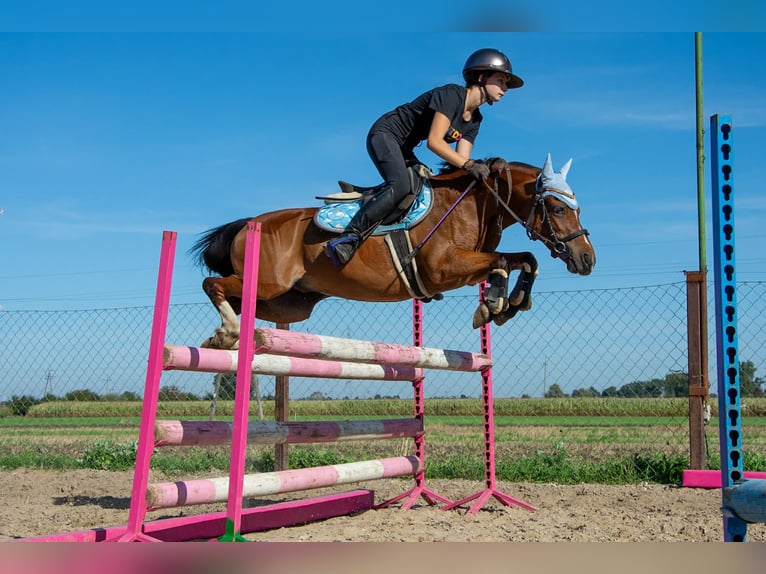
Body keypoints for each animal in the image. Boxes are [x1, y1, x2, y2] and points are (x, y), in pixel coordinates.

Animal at [190, 154, 595, 349]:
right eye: (557, 209)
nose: (587, 259)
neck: (474, 203)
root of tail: (248, 223)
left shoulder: (466, 266)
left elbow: (524, 260)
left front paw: (504, 305)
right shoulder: (443, 269)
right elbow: (504, 262)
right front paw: (495, 304)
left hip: (287, 303)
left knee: (236, 298)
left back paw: (222, 336)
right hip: (268, 284)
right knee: (214, 285)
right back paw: (227, 333)